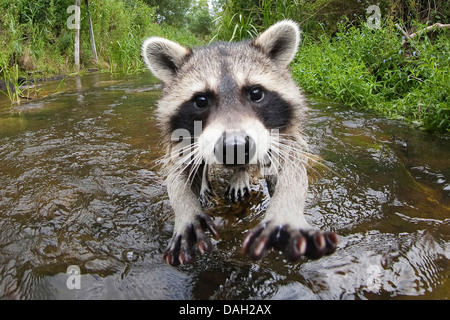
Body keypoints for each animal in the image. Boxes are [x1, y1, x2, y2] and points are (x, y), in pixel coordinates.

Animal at [142, 19, 338, 264]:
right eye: (201, 100)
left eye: (256, 93)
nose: (234, 147)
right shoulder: (181, 137)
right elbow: (179, 173)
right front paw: (185, 208)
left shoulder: (281, 132)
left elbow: (291, 169)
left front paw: (286, 208)